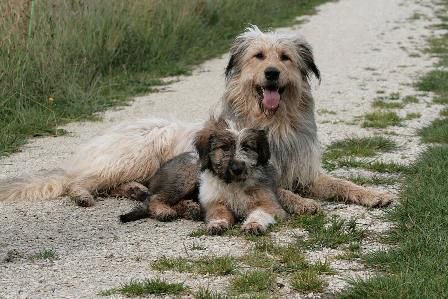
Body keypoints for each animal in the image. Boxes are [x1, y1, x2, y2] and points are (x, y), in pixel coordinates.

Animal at [0, 25, 390, 209]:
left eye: (285, 57)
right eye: (259, 56)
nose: (272, 74)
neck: (273, 122)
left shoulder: (304, 170)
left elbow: (339, 183)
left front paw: (373, 194)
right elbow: (281, 190)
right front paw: (304, 203)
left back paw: (134, 189)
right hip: (138, 150)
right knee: (77, 181)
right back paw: (84, 194)